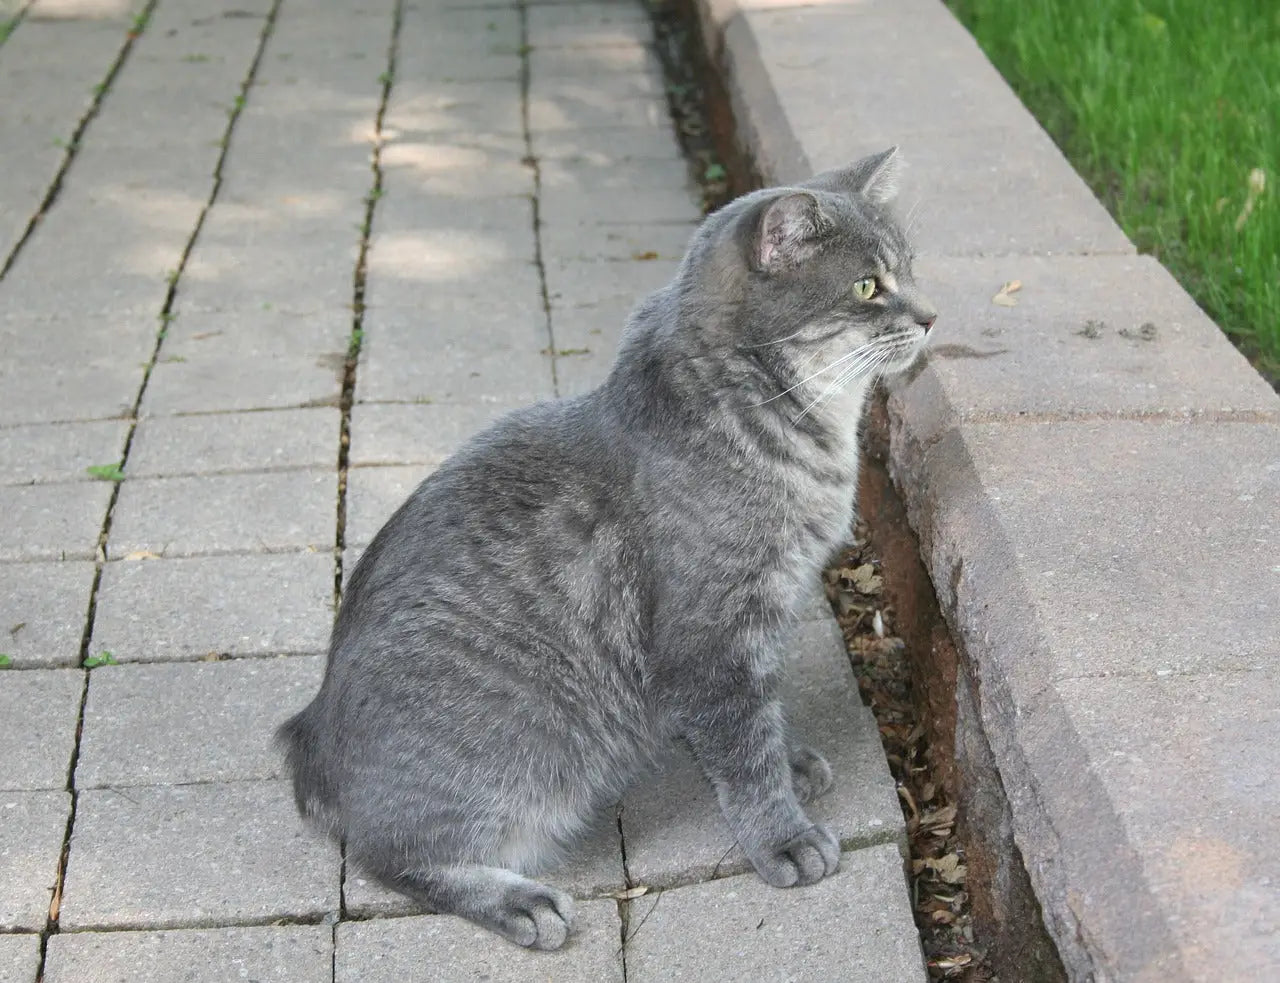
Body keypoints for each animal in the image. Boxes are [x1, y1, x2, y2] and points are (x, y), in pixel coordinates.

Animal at [280, 147, 936, 952]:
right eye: (869, 286)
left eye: (909, 268)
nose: (931, 316)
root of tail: (310, 742)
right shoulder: (711, 640)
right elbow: (742, 749)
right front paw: (782, 834)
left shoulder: (758, 625)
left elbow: (763, 718)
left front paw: (789, 758)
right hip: (514, 768)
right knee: (395, 856)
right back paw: (521, 901)